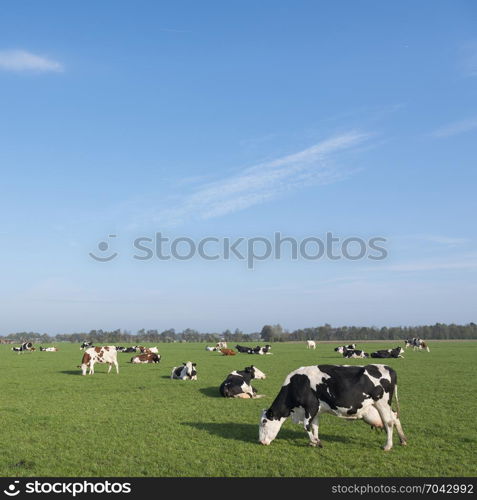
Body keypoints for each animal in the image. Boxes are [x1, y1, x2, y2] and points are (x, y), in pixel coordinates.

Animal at [256, 362, 406, 452]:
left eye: (264, 422)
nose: (261, 442)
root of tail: (388, 367)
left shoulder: (311, 406)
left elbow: (306, 425)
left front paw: (316, 442)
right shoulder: (316, 410)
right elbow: (315, 426)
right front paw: (314, 441)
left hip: (382, 403)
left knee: (388, 422)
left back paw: (388, 446)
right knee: (395, 417)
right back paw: (403, 440)